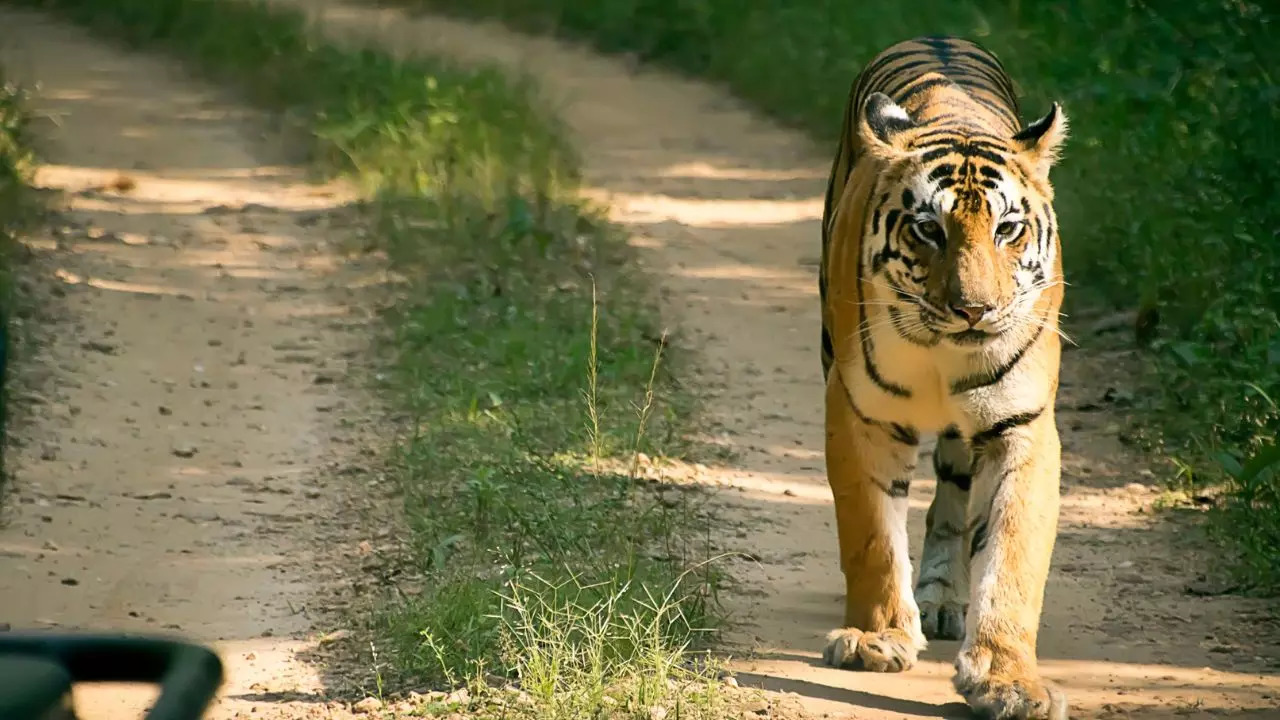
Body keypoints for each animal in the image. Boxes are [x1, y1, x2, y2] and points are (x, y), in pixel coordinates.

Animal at [819, 35, 1070, 717]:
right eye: (928, 229)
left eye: (1008, 229)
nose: (974, 310)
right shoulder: (860, 411)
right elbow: (871, 535)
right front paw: (876, 640)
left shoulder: (1023, 427)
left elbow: (1012, 558)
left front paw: (1007, 680)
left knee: (954, 503)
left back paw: (941, 596)